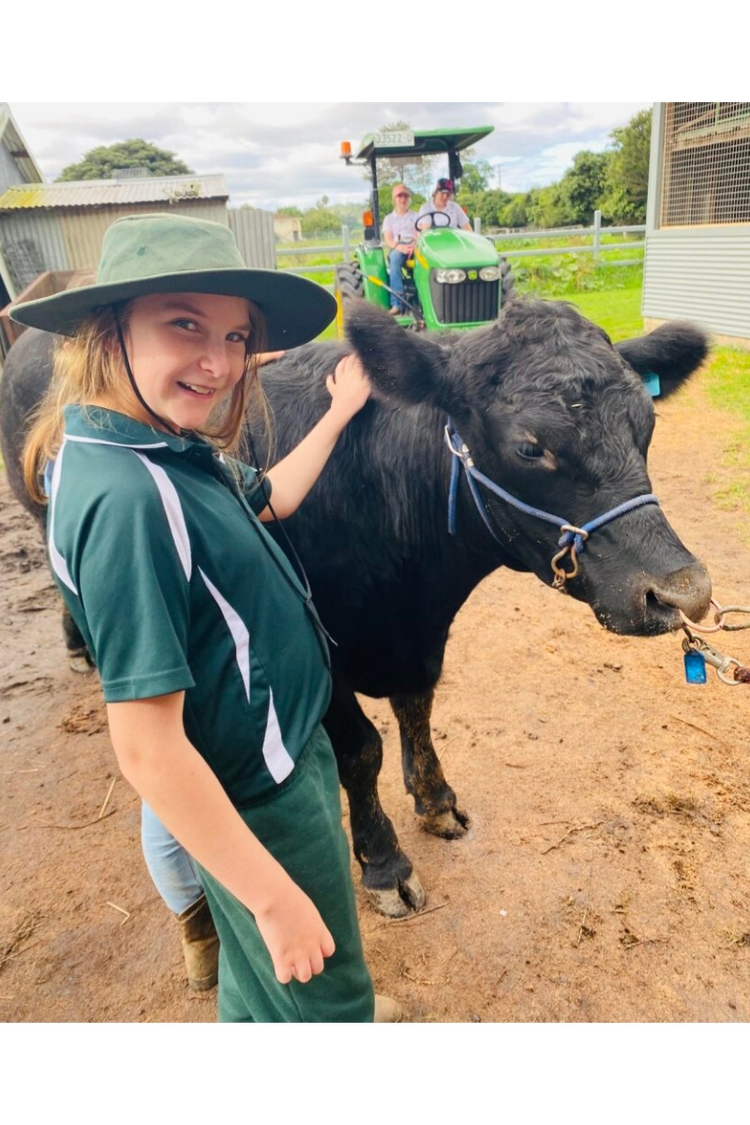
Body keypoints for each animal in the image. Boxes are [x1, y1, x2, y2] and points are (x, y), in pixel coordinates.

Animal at [0, 298, 711, 917]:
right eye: (531, 446)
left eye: (645, 426)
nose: (683, 591)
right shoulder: (314, 646)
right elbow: (361, 751)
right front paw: (384, 864)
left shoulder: (420, 639)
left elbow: (417, 710)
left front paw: (436, 801)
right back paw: (80, 648)